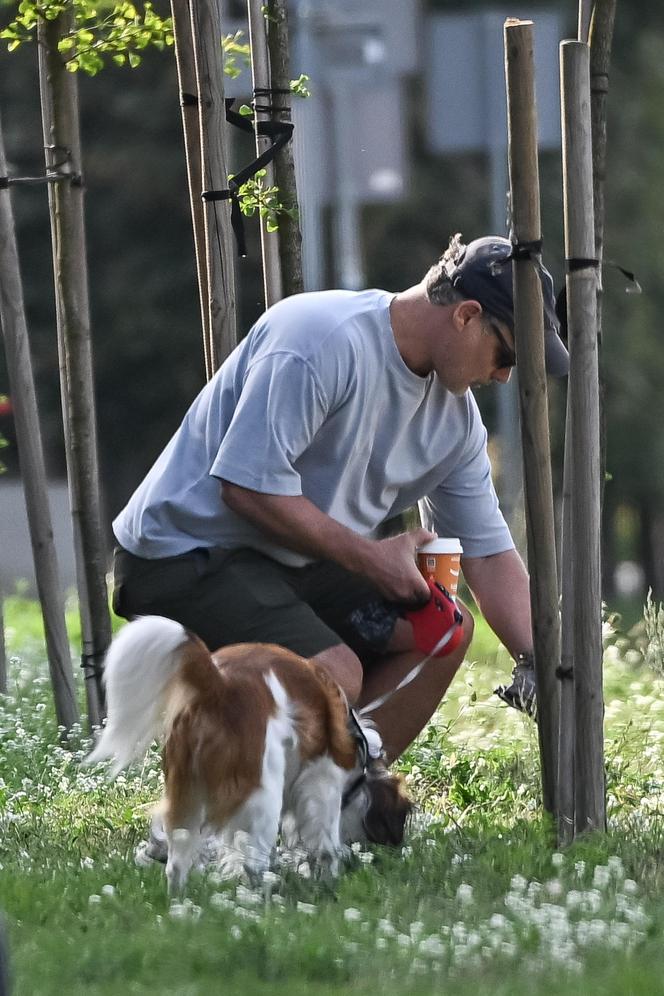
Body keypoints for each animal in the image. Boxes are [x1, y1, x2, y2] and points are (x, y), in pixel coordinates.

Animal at [85, 620, 412, 892]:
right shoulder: (323, 782)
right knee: (250, 864)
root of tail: (217, 685)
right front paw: (329, 880)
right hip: (262, 798)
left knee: (176, 866)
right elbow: (325, 844)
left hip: (187, 795)